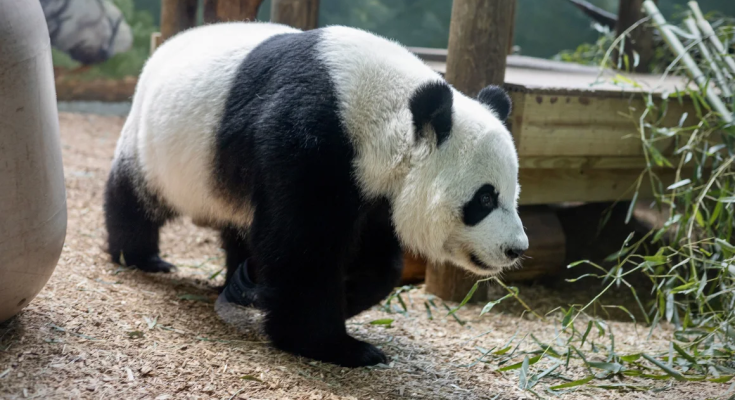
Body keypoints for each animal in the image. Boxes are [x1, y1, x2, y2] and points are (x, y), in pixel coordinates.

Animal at [103, 21, 528, 366]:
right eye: (485, 199)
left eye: (513, 194)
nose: (515, 249)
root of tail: (164, 46)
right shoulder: (309, 138)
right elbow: (302, 248)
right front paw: (335, 346)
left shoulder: (371, 187)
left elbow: (378, 259)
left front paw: (347, 295)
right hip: (156, 142)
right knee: (134, 195)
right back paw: (140, 255)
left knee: (238, 226)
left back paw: (239, 283)